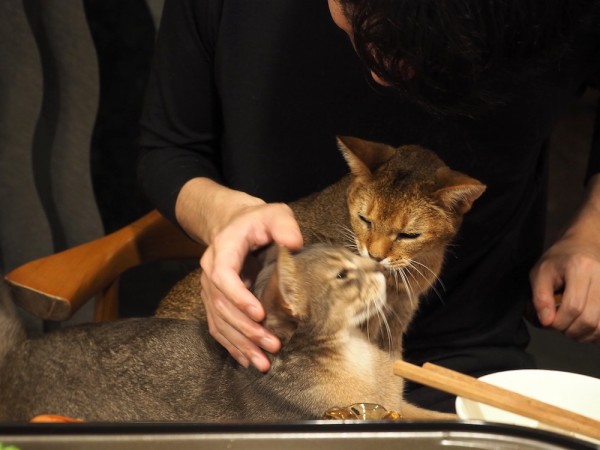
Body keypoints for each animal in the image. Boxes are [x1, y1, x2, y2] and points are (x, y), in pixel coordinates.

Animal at [0, 244, 452, 420]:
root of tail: (16, 355)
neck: (359, 356)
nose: (378, 264)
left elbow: (437, 413)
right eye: (344, 274)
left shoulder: (400, 404)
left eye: (353, 253)